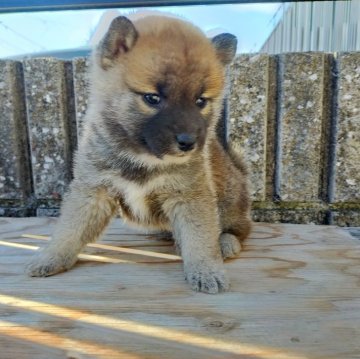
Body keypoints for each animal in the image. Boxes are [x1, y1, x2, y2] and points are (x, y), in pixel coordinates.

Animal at [26, 15, 250, 294]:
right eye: (152, 98)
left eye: (200, 101)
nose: (188, 142)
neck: (142, 155)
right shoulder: (93, 191)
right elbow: (70, 229)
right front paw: (51, 257)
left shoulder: (190, 196)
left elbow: (200, 238)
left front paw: (207, 270)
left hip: (229, 200)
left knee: (240, 229)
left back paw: (226, 242)